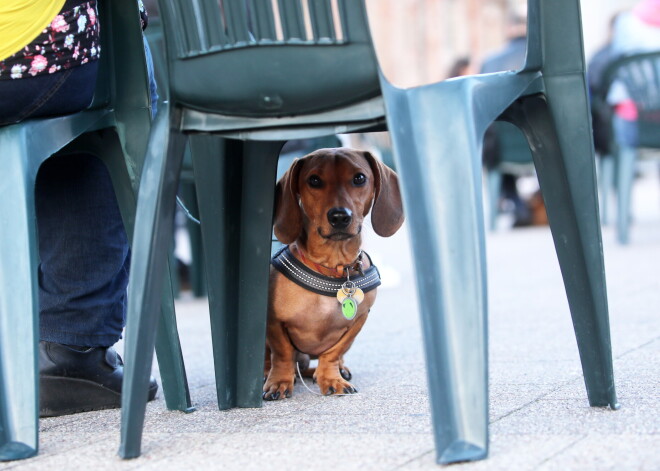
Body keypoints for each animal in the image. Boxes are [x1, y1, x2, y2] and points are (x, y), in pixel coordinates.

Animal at [266, 148, 404, 402]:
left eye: (359, 178)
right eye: (314, 180)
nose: (340, 216)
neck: (332, 267)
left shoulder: (358, 320)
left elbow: (332, 353)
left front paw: (331, 378)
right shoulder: (273, 321)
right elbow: (282, 354)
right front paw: (279, 381)